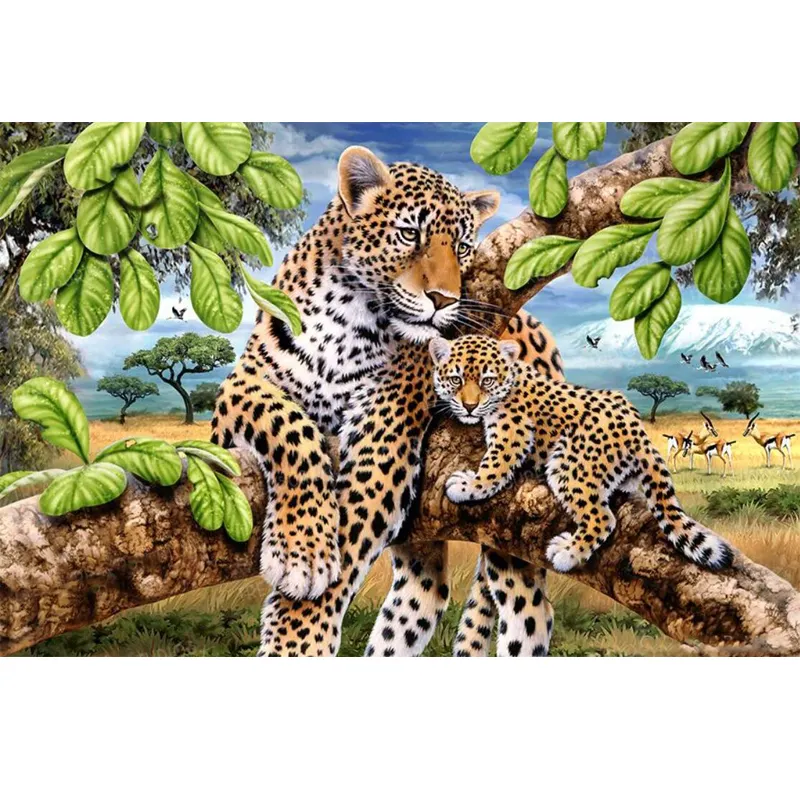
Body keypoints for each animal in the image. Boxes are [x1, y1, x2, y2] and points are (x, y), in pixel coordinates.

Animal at [212, 145, 564, 655]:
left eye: (462, 247)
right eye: (409, 233)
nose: (444, 299)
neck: (345, 316)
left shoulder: (386, 426)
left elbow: (354, 523)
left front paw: (298, 633)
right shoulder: (241, 388)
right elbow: (288, 424)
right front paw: (303, 552)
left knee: (530, 610)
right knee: (423, 595)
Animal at [430, 334, 735, 575]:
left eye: (487, 380)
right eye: (456, 379)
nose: (469, 406)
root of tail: (638, 434)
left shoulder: (513, 432)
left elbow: (495, 465)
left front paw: (469, 485)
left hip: (569, 466)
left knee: (602, 518)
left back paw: (568, 552)